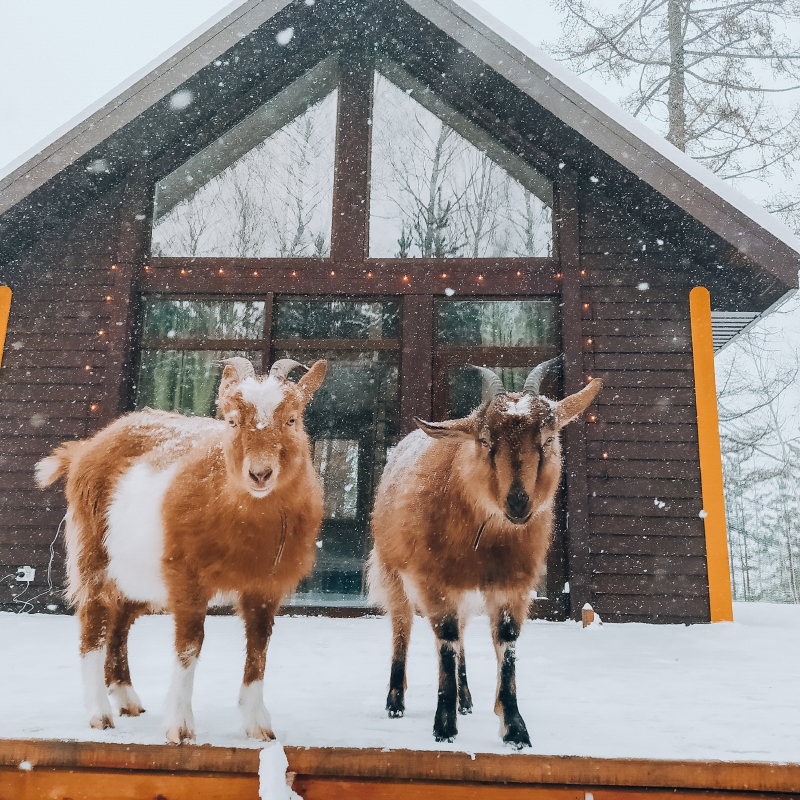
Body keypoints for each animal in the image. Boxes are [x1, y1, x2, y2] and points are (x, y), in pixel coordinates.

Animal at [36, 356, 326, 744]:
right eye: (231, 420)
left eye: (292, 419)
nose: (260, 474)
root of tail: (86, 449)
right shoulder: (187, 576)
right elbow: (189, 645)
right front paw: (180, 727)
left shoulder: (266, 586)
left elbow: (259, 647)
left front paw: (259, 727)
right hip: (93, 553)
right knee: (93, 623)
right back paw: (100, 714)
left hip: (139, 575)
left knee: (120, 622)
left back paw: (126, 699)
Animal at [368, 360, 600, 748]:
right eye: (485, 441)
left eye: (548, 439)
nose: (519, 502)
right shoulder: (434, 581)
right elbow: (445, 640)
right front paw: (444, 727)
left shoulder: (512, 586)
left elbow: (506, 643)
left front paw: (514, 729)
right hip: (392, 572)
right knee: (402, 627)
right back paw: (395, 702)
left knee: (461, 633)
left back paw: (466, 699)